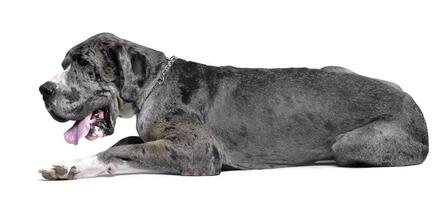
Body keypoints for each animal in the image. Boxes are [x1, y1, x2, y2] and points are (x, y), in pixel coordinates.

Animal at [39, 32, 428, 180]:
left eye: (83, 63)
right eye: (64, 64)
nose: (43, 89)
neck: (153, 86)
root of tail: (412, 101)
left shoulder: (198, 151)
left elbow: (123, 150)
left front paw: (75, 164)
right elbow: (125, 146)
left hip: (348, 144)